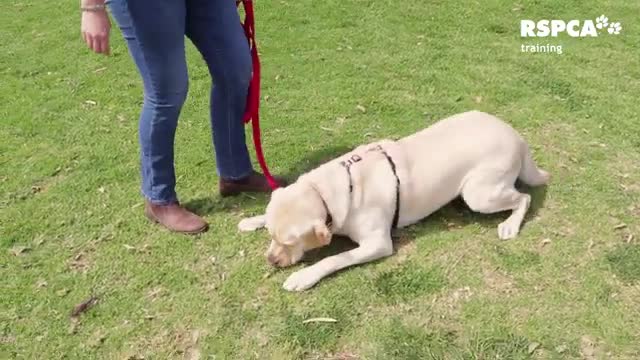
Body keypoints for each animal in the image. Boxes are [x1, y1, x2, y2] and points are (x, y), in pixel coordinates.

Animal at [238, 111, 548, 292]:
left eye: (291, 242)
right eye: (271, 236)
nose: (271, 260)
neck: (325, 191)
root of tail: (517, 136)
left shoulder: (377, 243)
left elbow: (334, 258)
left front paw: (303, 277)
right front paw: (252, 220)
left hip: (479, 194)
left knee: (524, 197)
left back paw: (510, 225)